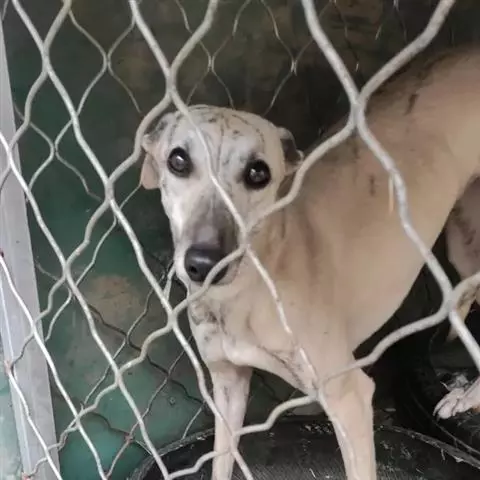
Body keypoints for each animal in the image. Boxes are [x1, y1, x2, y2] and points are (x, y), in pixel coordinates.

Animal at [140, 46, 480, 480]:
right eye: (178, 160)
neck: (248, 292)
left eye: (258, 172)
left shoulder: (351, 398)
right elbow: (221, 461)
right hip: (462, 240)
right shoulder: (228, 383)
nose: (204, 263)